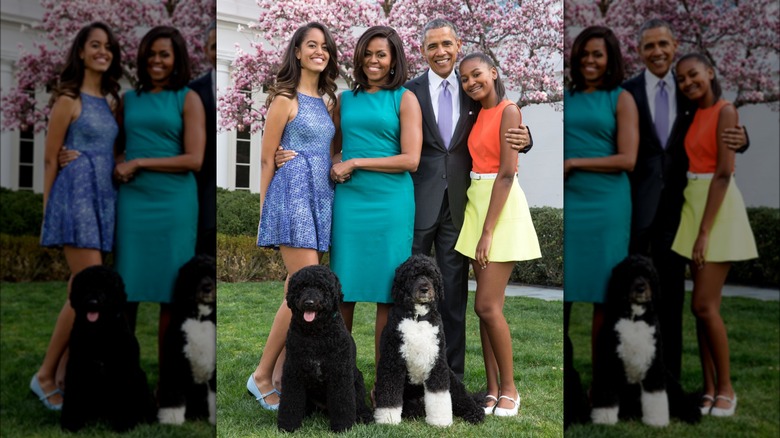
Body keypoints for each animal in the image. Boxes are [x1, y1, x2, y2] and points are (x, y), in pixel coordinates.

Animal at [61, 264, 154, 432]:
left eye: (105, 287)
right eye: (86, 285)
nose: (92, 302)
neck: (99, 332)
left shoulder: (124, 369)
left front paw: (124, 424)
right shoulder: (77, 366)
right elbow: (73, 395)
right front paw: (71, 423)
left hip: (140, 378)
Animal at [157, 253, 216, 424]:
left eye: (213, 274)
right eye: (196, 273)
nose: (207, 288)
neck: (200, 319)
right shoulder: (176, 359)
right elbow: (174, 393)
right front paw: (171, 420)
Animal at [276, 264, 374, 432]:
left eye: (321, 288)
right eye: (302, 287)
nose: (309, 302)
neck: (316, 335)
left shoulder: (339, 373)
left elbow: (342, 403)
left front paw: (343, 426)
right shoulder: (293, 371)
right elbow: (290, 401)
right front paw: (287, 425)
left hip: (357, 380)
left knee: (359, 404)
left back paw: (364, 416)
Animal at [374, 255, 484, 426]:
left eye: (431, 276)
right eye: (413, 276)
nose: (425, 289)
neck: (418, 318)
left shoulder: (437, 363)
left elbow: (439, 395)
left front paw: (440, 421)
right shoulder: (392, 362)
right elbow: (389, 393)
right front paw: (388, 419)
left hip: (452, 379)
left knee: (463, 398)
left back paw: (475, 413)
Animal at [592, 255, 700, 426]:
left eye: (648, 274)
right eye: (631, 274)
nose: (641, 288)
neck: (635, 318)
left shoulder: (654, 364)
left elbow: (655, 394)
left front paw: (656, 421)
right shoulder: (609, 361)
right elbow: (607, 393)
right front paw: (605, 419)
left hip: (670, 380)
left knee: (683, 401)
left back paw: (692, 415)